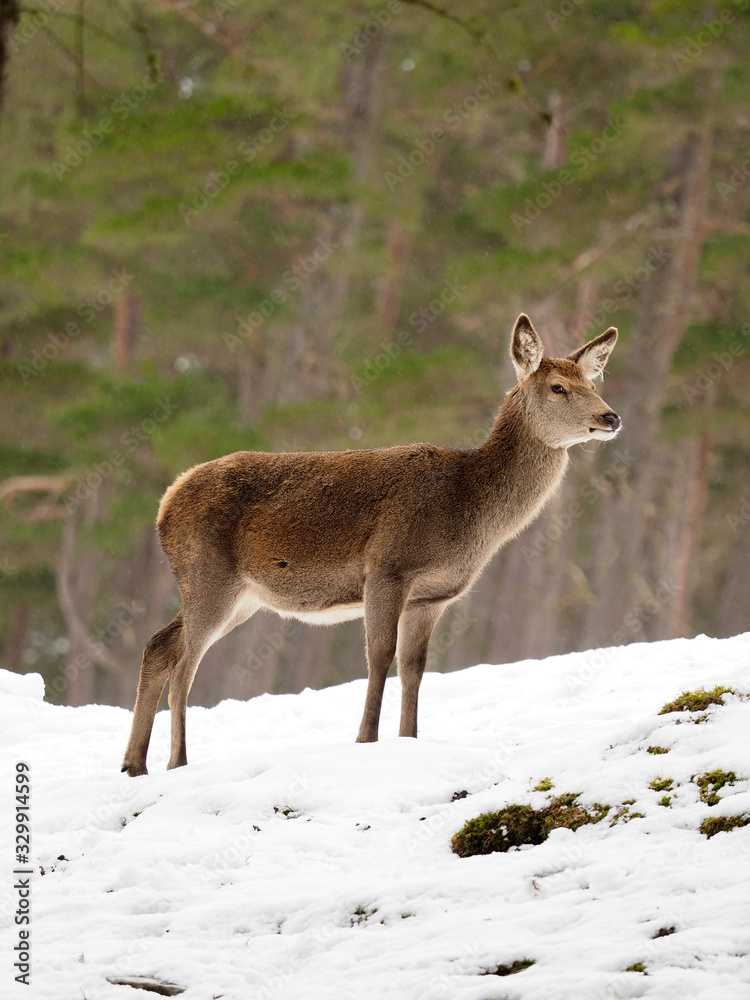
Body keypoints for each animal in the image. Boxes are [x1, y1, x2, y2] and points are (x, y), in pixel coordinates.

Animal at [121, 314, 620, 777]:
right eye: (558, 387)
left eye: (593, 382)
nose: (611, 417)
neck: (468, 510)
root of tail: (164, 503)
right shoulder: (387, 567)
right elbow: (379, 656)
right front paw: (365, 740)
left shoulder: (432, 596)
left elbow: (414, 667)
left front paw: (409, 738)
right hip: (210, 577)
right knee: (184, 666)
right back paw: (177, 763)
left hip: (240, 596)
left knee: (159, 644)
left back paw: (133, 763)